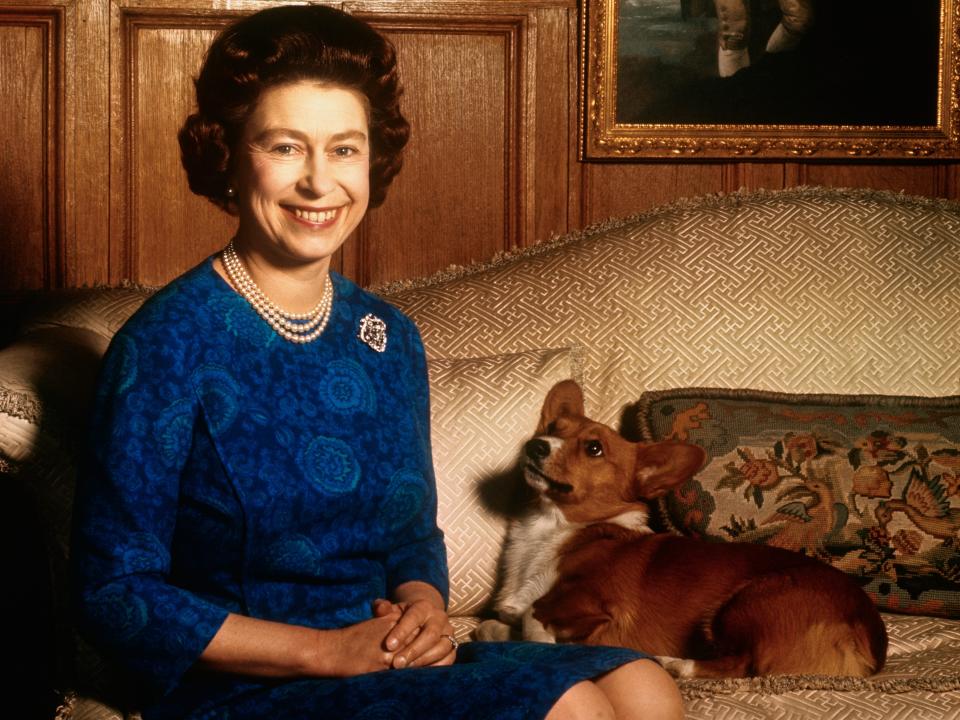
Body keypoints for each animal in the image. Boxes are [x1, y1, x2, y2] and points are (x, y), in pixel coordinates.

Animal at [476, 380, 888, 676]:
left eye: (594, 448)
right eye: (552, 427)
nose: (535, 446)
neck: (552, 528)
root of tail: (871, 638)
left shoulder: (597, 604)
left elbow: (533, 616)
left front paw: (552, 641)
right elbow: (497, 623)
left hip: (745, 601)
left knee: (741, 665)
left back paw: (673, 664)